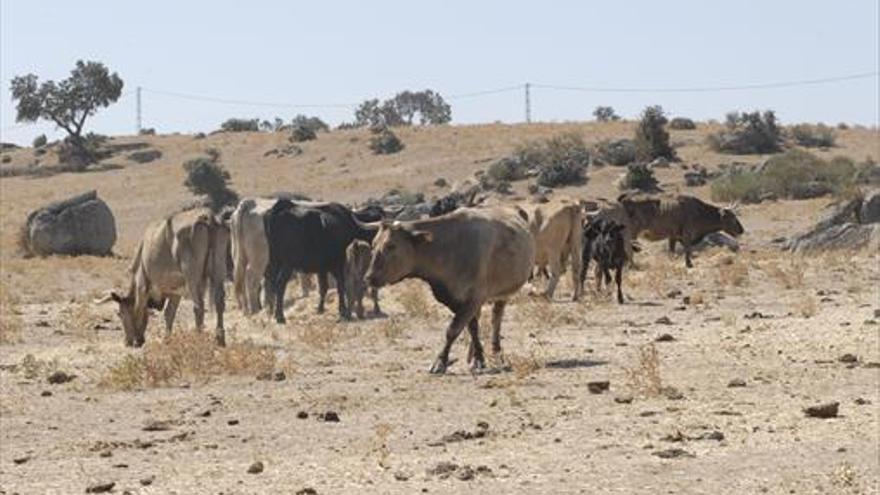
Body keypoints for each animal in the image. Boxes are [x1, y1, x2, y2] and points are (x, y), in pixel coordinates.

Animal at [100, 207, 230, 346]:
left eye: (120, 313)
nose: (127, 342)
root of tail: (207, 216)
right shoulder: (175, 292)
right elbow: (169, 313)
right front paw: (167, 338)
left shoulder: (142, 286)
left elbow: (139, 309)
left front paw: (139, 340)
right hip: (219, 269)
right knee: (220, 302)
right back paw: (220, 339)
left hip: (192, 275)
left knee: (199, 305)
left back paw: (199, 338)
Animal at [366, 207, 532, 374]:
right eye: (373, 245)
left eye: (391, 245)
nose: (369, 277)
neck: (448, 249)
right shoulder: (456, 300)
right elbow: (472, 327)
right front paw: (478, 357)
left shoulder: (474, 298)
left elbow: (452, 329)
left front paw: (441, 362)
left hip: (504, 292)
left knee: (496, 319)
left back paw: (497, 352)